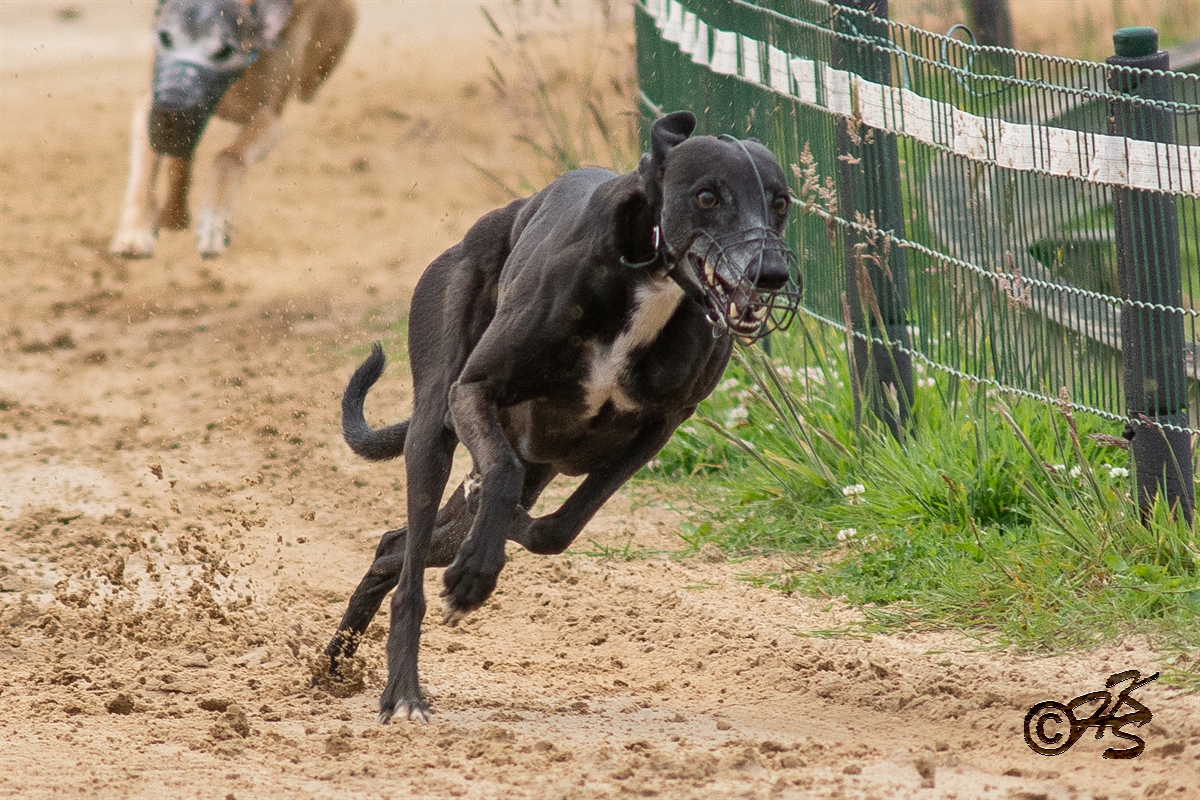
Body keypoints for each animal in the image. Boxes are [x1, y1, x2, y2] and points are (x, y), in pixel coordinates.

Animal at [110, 0, 355, 259]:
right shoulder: (151, 105)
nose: (173, 101)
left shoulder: (268, 118)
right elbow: (145, 172)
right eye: (165, 38)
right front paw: (135, 231)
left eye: (224, 51)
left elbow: (228, 156)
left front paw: (214, 222)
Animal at [324, 112, 801, 723]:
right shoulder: (474, 392)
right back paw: (403, 693)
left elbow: (557, 529)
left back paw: (337, 662)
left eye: (780, 201)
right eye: (707, 196)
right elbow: (500, 477)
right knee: (413, 568)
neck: (645, 279)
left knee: (396, 547)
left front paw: (499, 541)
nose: (770, 273)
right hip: (436, 421)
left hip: (531, 460)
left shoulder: (659, 428)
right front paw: (475, 575)